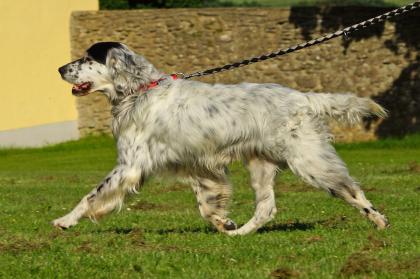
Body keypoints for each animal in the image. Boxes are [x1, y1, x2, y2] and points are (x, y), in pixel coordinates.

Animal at [55, 41, 390, 234]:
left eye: (87, 58)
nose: (59, 68)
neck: (140, 91)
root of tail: (304, 99)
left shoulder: (130, 165)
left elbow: (92, 195)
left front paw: (66, 220)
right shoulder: (200, 167)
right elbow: (207, 204)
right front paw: (223, 222)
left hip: (309, 160)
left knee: (351, 189)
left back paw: (379, 221)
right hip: (260, 165)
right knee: (266, 209)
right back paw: (239, 233)